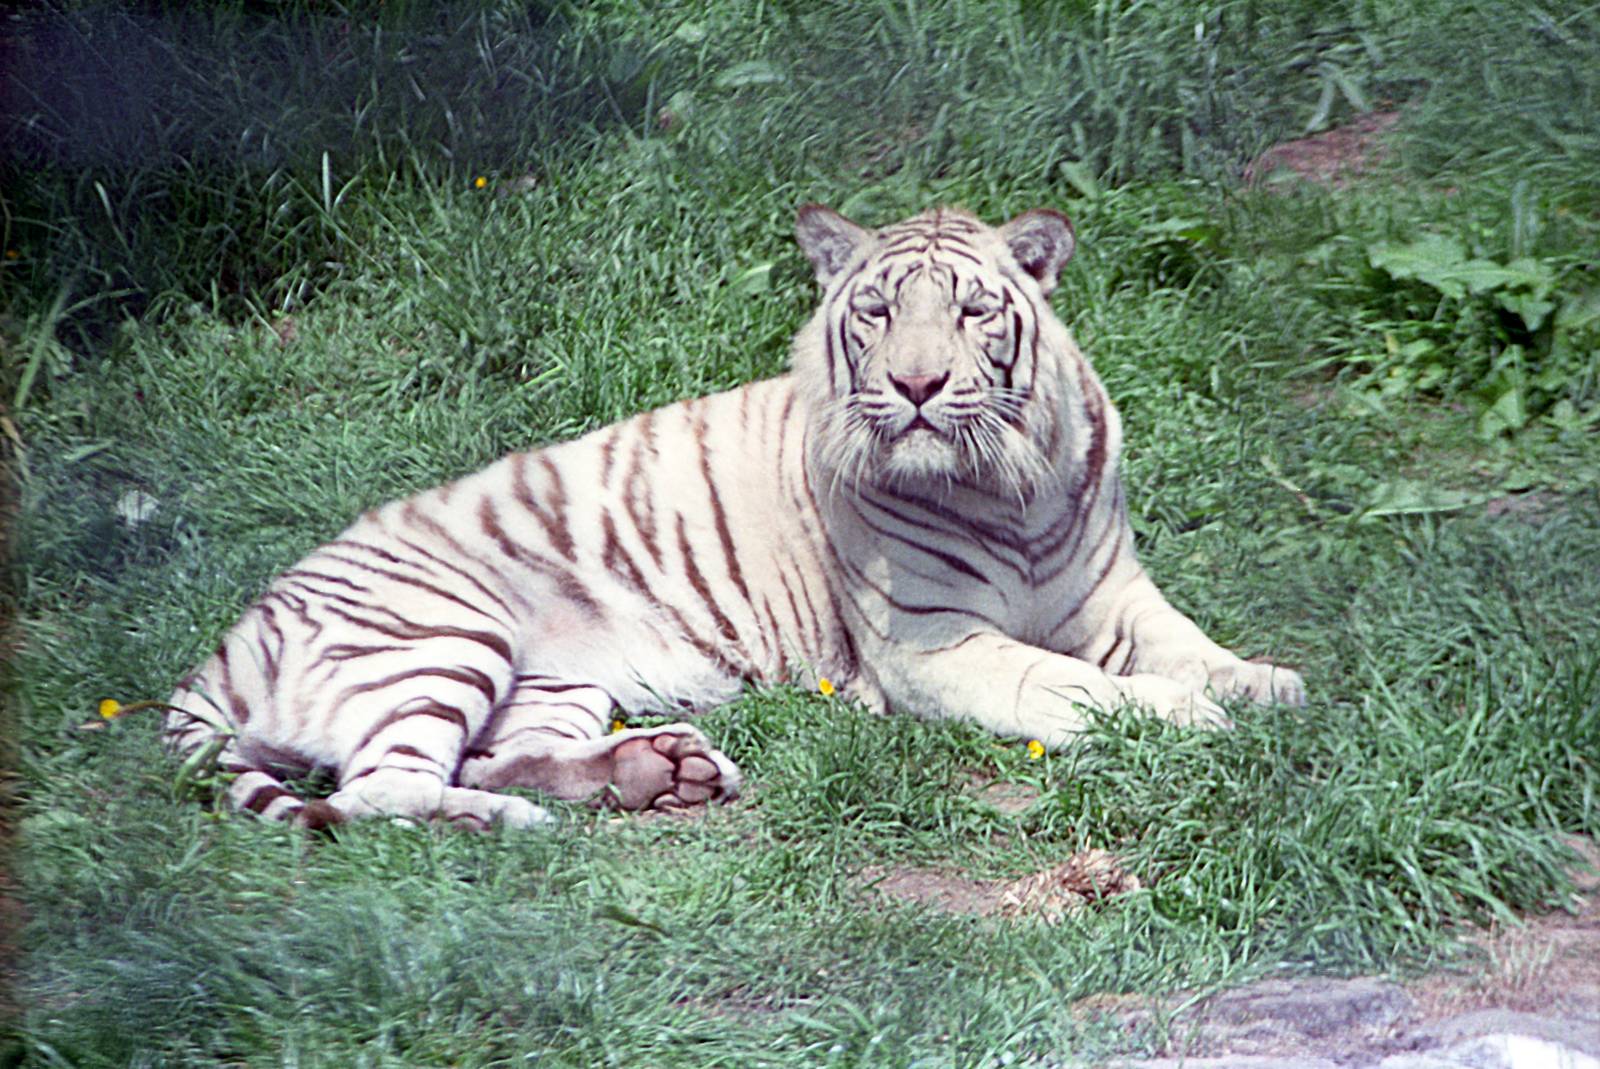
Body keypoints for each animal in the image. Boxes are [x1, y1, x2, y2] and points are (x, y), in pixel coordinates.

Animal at [163, 204, 1306, 829]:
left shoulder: (1111, 595)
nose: (920, 384)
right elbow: (1067, 685)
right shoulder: (934, 645)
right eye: (877, 311)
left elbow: (1191, 644)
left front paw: (1264, 685)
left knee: (478, 754)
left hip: (553, 682)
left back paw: (658, 770)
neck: (1005, 482)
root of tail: (217, 652)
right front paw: (1186, 716)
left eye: (973, 310)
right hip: (441, 632)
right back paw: (509, 820)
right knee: (380, 789)